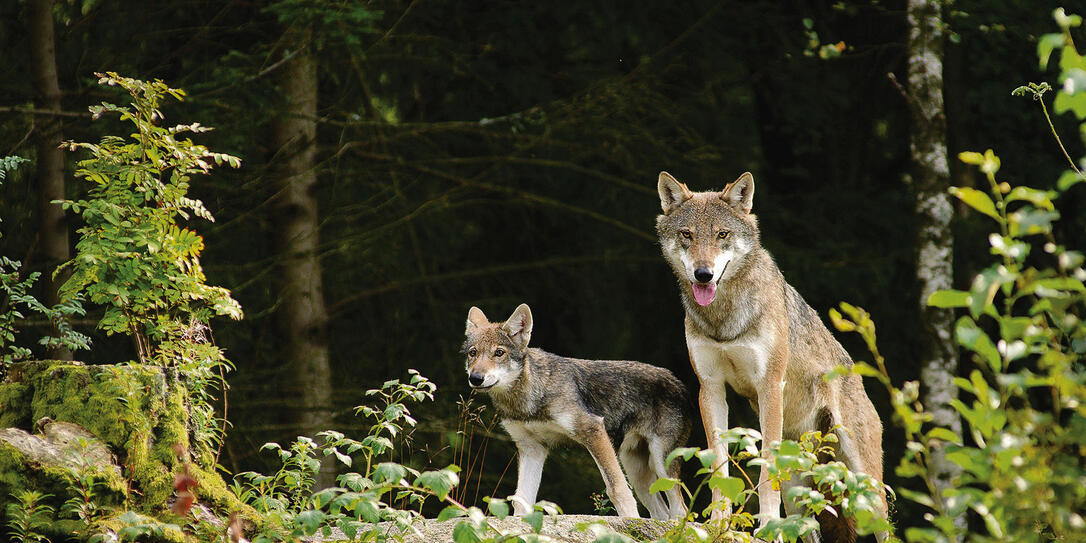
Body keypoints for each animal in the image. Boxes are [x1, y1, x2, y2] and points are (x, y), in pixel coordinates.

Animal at [462, 304, 690, 519]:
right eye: (473, 353)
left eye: (499, 353)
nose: (476, 378)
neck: (528, 400)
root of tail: (679, 383)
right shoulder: (531, 448)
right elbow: (522, 499)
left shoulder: (593, 430)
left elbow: (617, 489)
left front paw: (628, 523)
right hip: (637, 472)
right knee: (661, 513)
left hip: (661, 464)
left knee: (680, 510)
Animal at [651, 170, 881, 543]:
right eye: (687, 235)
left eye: (722, 234)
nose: (703, 274)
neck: (724, 318)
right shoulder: (710, 389)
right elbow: (719, 464)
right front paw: (719, 521)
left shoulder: (770, 386)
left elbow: (764, 469)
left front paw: (767, 523)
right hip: (800, 489)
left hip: (865, 485)